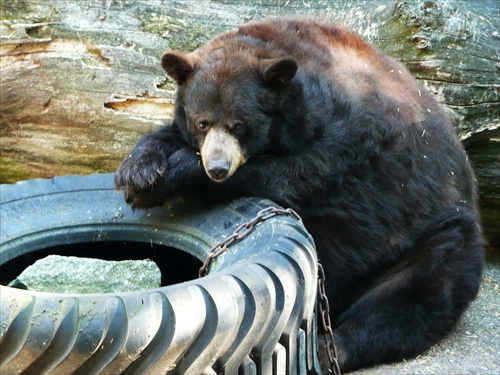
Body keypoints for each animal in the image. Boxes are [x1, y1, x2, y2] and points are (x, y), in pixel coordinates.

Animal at [115, 17, 482, 374]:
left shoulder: (348, 133)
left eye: (239, 125)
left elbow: (298, 172)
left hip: (429, 236)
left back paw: (328, 349)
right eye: (202, 123)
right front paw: (139, 171)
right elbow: (166, 136)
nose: (218, 167)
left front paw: (176, 175)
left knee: (410, 296)